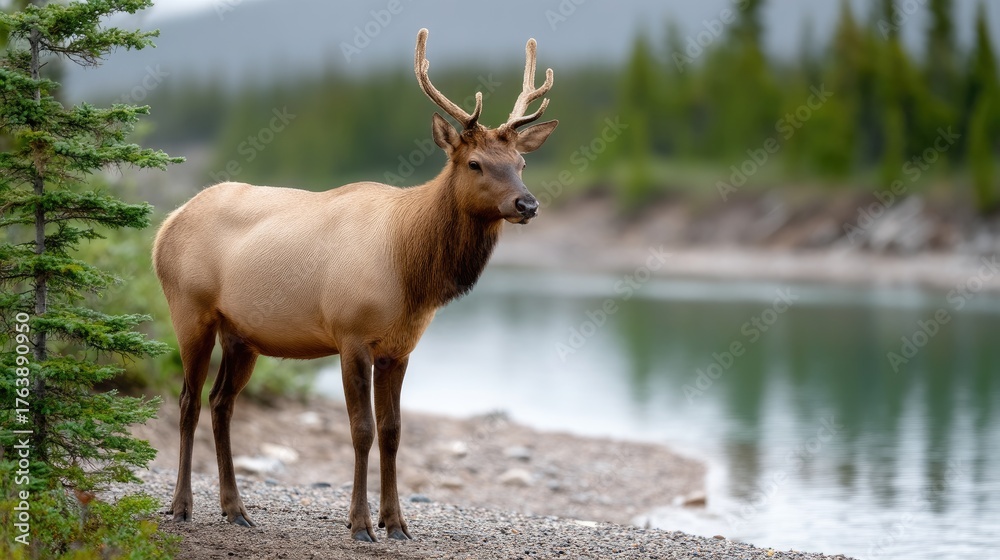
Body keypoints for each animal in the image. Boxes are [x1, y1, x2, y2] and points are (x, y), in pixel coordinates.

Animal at [151, 28, 557, 542]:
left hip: (242, 335)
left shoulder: (399, 348)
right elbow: (361, 429)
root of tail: (166, 225)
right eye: (475, 163)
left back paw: (235, 508)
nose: (527, 204)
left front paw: (396, 522)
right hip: (191, 311)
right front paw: (361, 523)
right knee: (187, 401)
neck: (411, 270)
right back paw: (181, 506)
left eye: (521, 161)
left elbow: (393, 431)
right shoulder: (350, 334)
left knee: (220, 403)